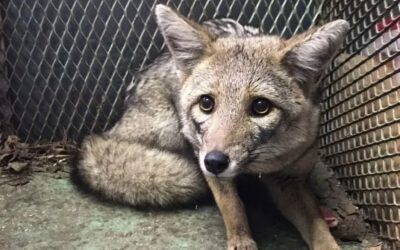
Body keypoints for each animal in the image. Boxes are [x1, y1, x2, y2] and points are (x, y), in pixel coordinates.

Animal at [75, 4, 350, 250]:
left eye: (261, 107)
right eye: (206, 103)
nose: (214, 162)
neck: (261, 164)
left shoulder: (290, 179)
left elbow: (317, 227)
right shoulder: (204, 155)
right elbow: (233, 206)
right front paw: (241, 241)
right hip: (171, 129)